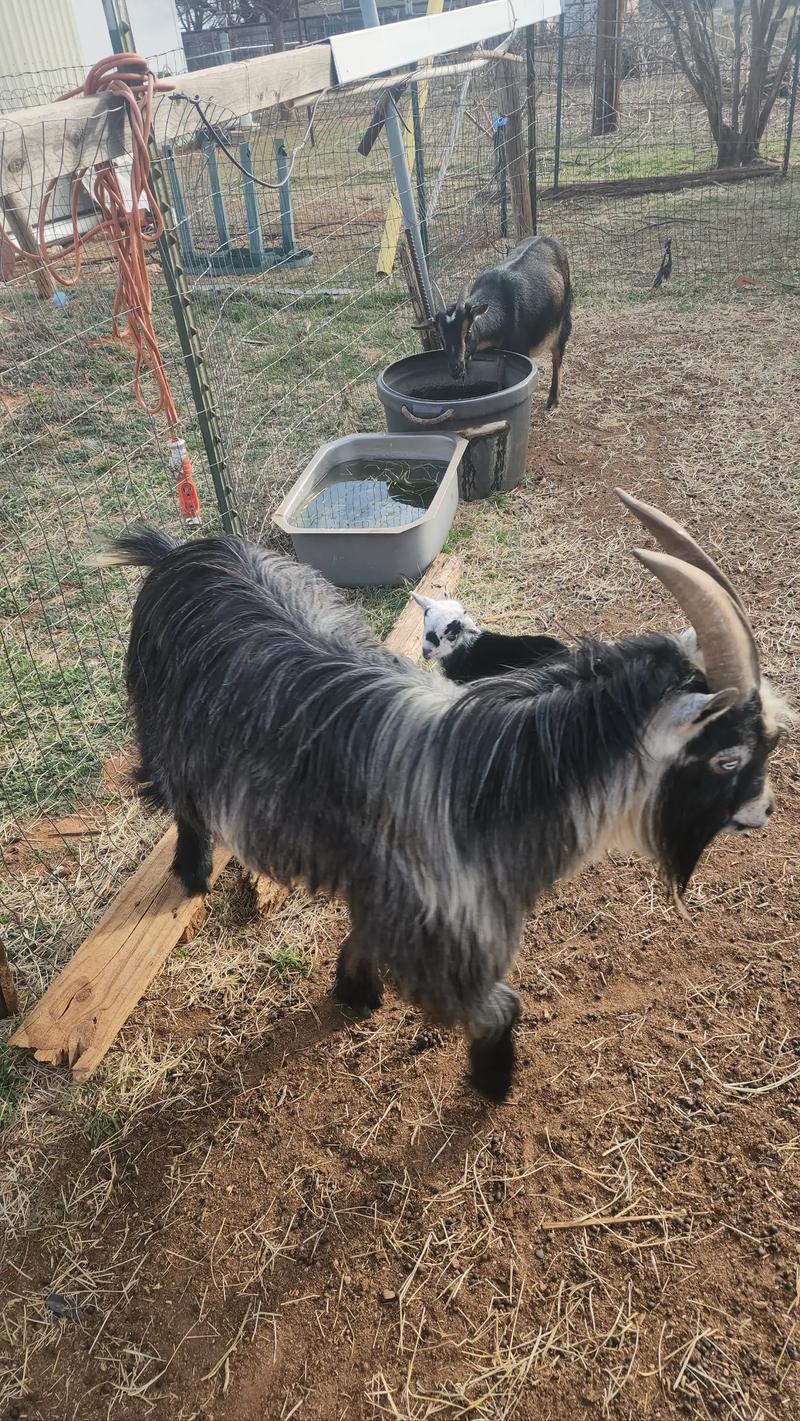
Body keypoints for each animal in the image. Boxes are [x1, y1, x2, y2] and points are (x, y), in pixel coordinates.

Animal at [414, 236, 573, 409]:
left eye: (468, 332)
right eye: (440, 337)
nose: (456, 369)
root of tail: (547, 238)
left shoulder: (521, 350)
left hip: (563, 319)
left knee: (557, 355)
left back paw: (553, 399)